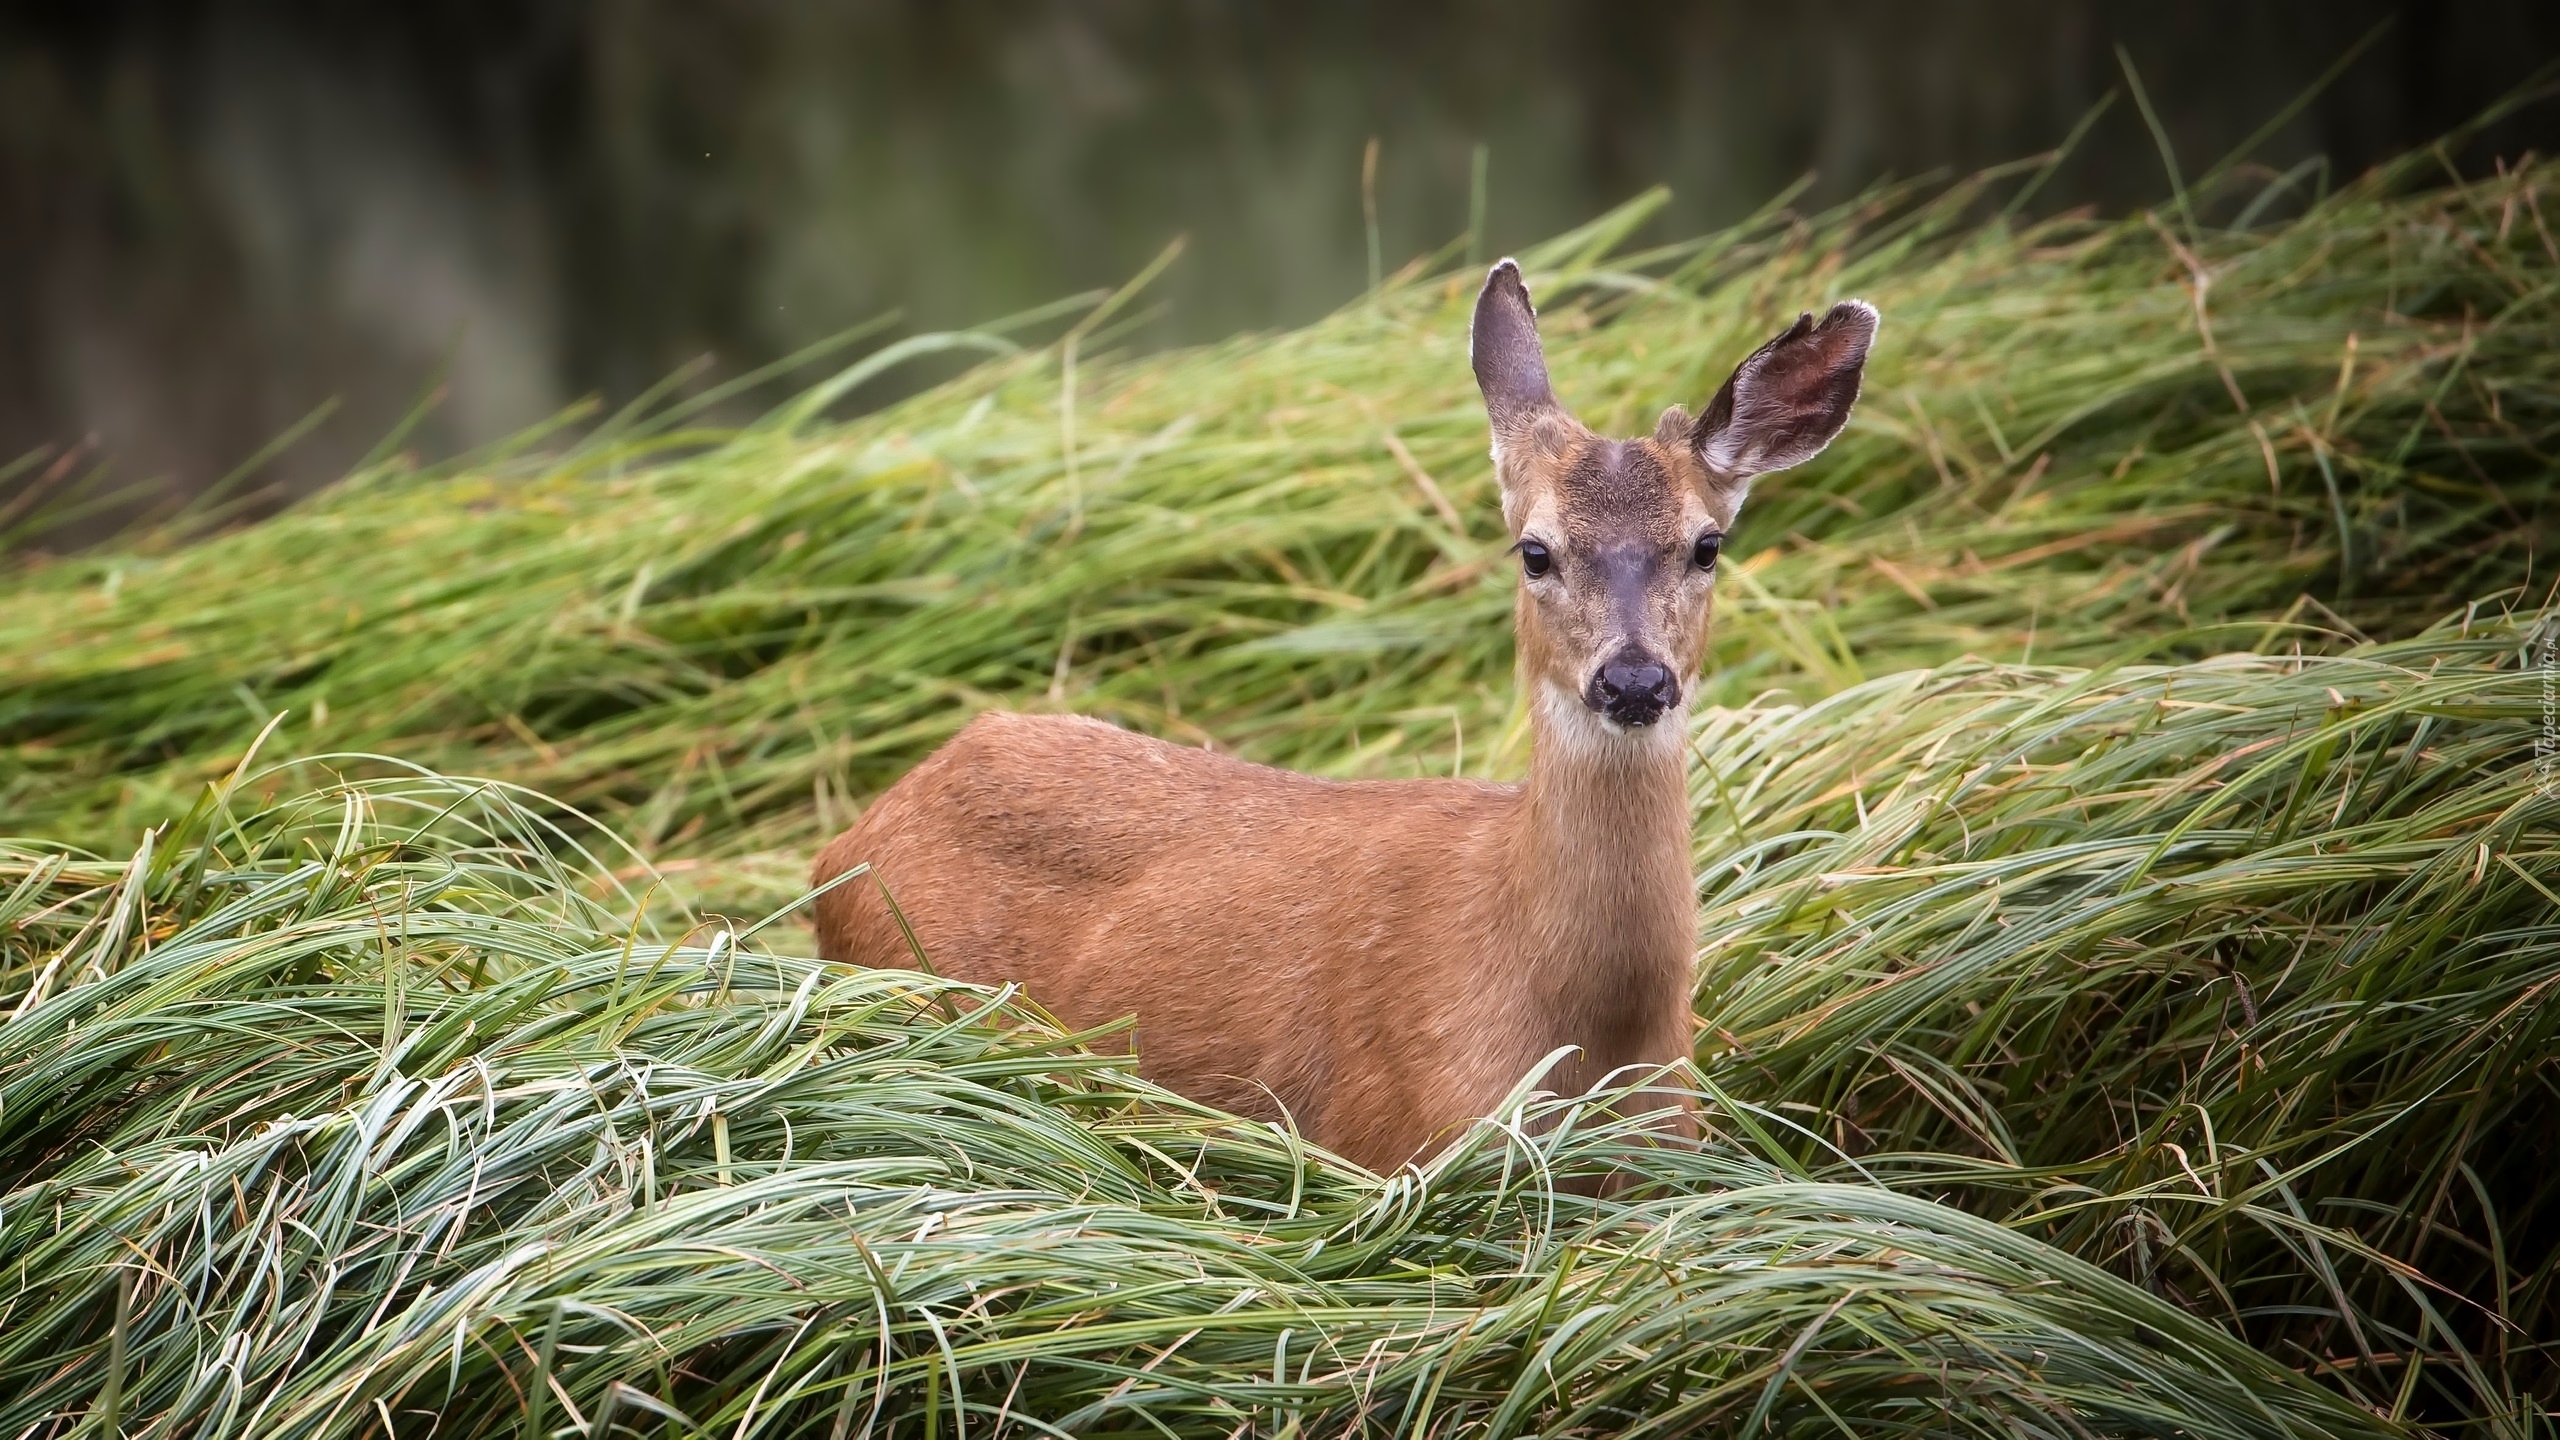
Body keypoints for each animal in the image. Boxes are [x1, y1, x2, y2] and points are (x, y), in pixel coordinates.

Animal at [819, 263, 1884, 1173]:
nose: (1632, 682)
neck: (1586, 1030)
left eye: (1707, 545)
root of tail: (851, 840)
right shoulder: (1396, 1136)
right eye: (1534, 551)